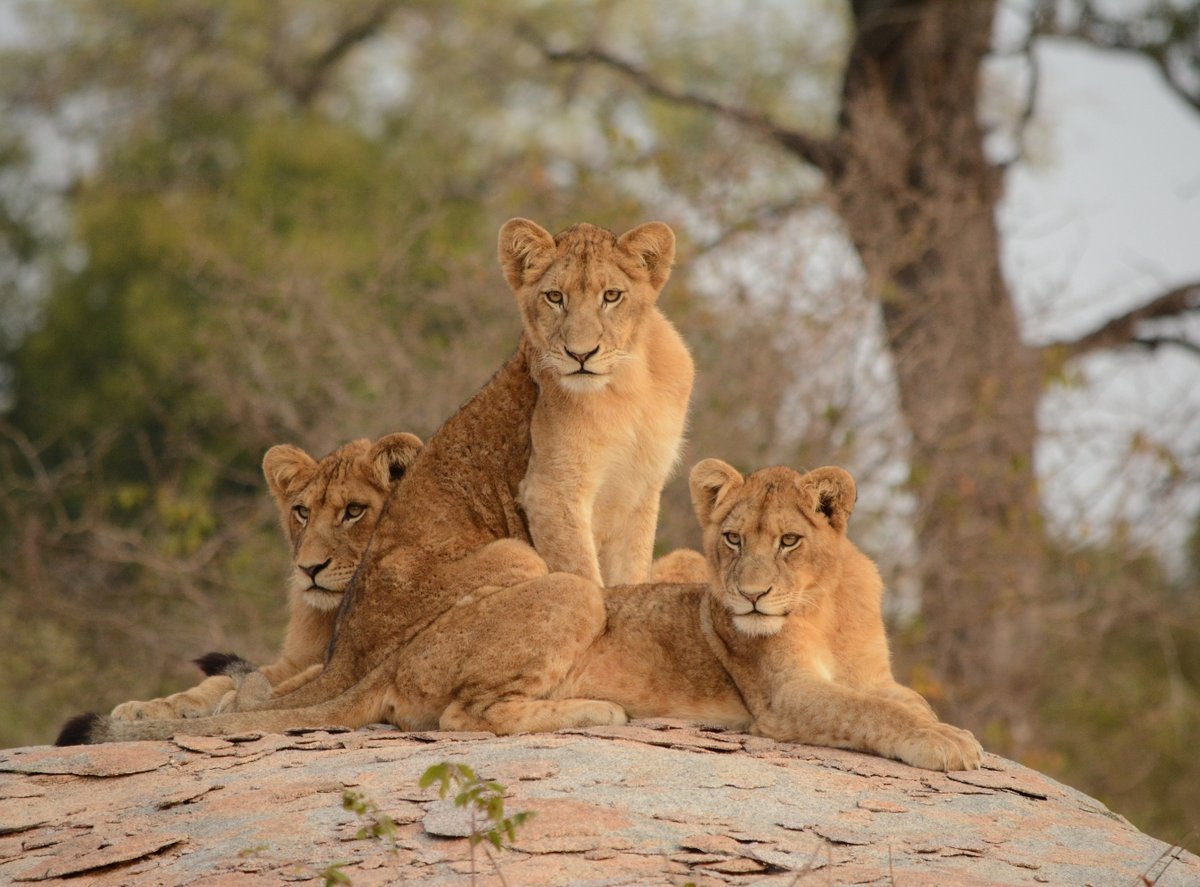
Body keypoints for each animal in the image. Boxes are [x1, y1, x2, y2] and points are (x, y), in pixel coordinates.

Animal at [108, 433, 422, 721]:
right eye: (303, 512)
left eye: (354, 510)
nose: (309, 569)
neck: (333, 614)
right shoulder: (296, 660)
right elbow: (226, 680)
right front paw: (146, 708)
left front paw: (238, 703)